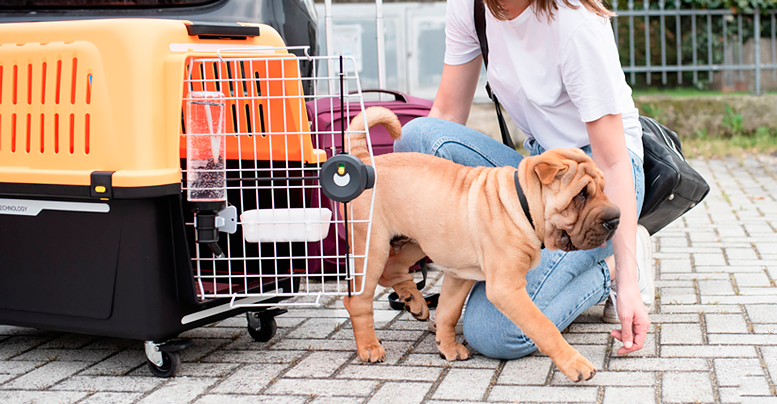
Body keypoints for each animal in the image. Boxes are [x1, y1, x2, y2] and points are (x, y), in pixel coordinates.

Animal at [338, 105, 620, 382]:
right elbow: (543, 325)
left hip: (422, 237)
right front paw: (575, 363)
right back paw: (369, 346)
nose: (616, 218)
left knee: (393, 268)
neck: (521, 206)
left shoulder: (460, 275)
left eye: (604, 188)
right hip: (373, 246)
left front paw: (447, 347)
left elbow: (449, 312)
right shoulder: (507, 288)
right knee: (358, 300)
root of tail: (365, 162)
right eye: (580, 195)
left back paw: (414, 301)